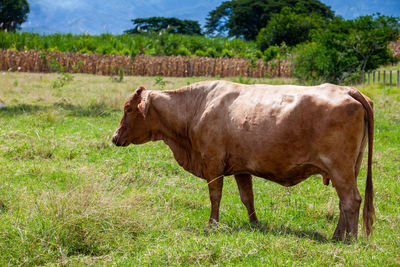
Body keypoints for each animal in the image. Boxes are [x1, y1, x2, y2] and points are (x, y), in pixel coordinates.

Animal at [111, 80, 374, 242]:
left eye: (128, 109)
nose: (114, 137)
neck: (198, 106)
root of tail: (347, 90)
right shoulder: (241, 168)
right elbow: (248, 197)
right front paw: (255, 224)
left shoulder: (212, 163)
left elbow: (215, 196)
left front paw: (212, 225)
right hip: (349, 169)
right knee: (343, 203)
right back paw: (337, 235)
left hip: (340, 168)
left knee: (352, 201)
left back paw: (349, 240)